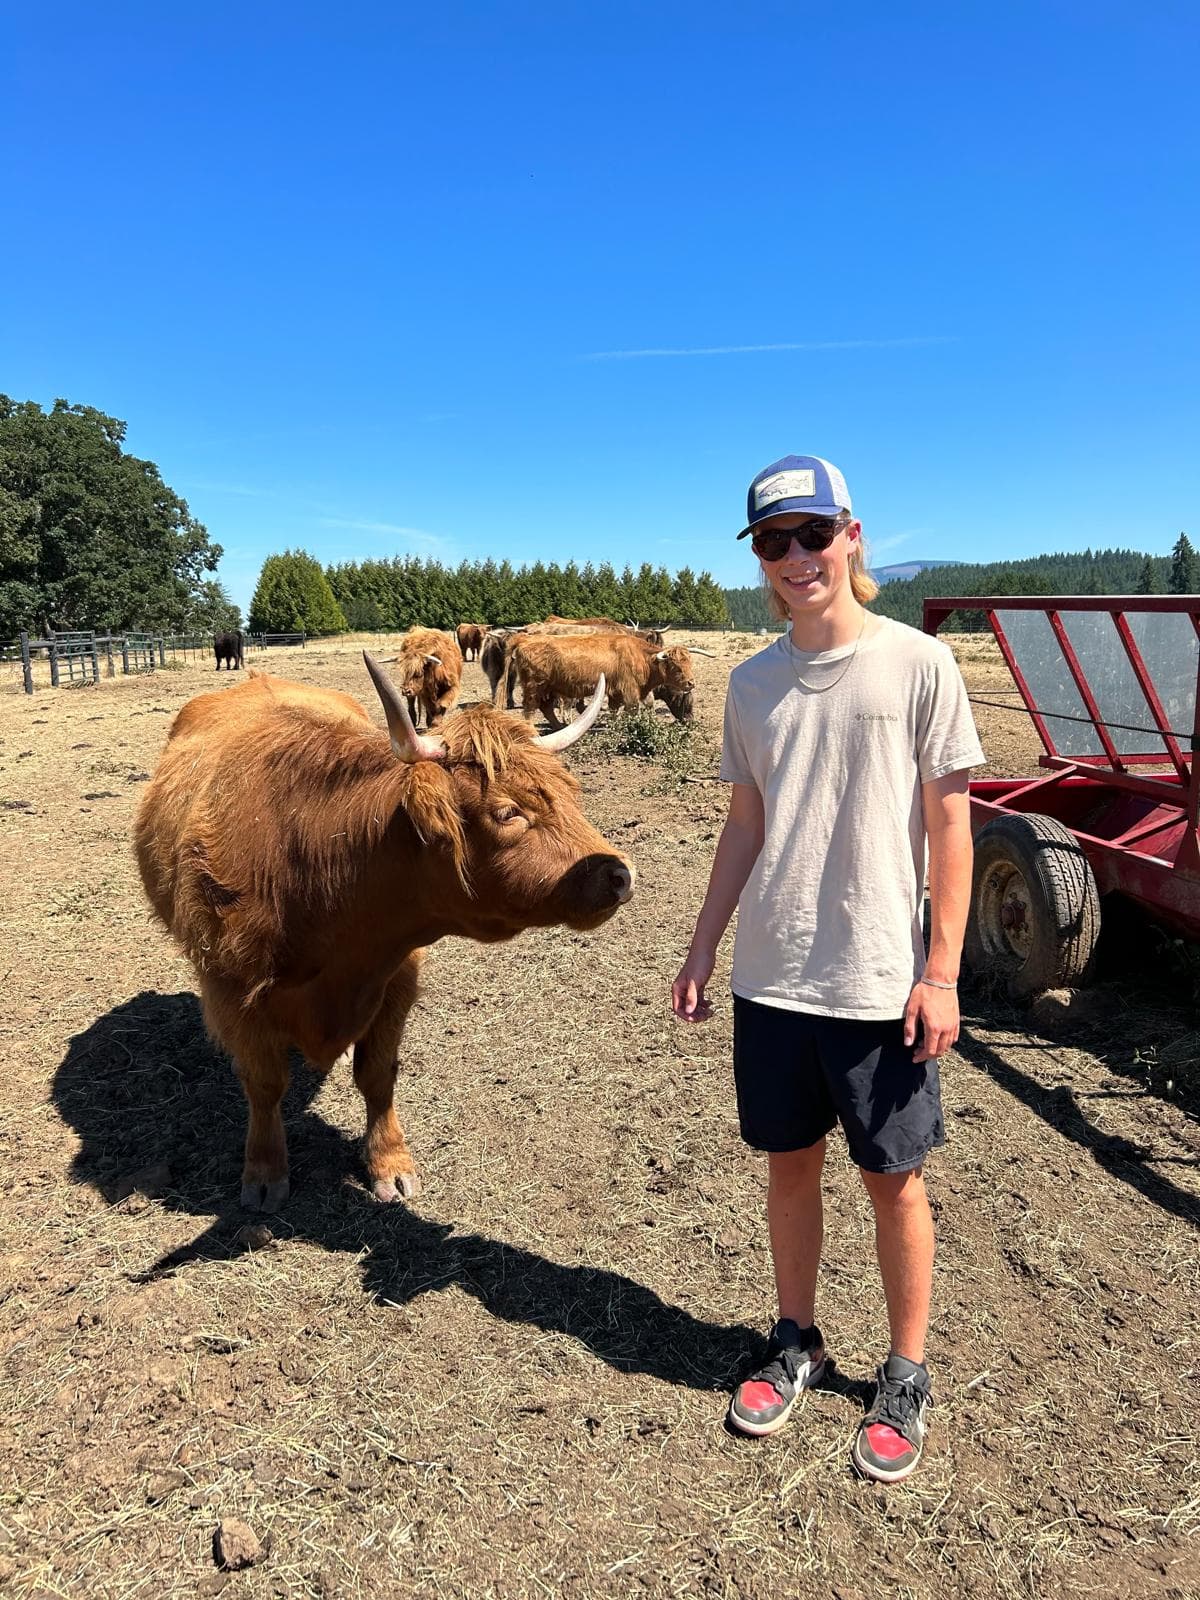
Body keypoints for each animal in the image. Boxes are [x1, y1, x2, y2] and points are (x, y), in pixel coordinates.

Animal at [134, 657, 632, 1211]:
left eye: (570, 794)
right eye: (507, 812)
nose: (620, 874)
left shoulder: (395, 981)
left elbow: (377, 1076)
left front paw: (389, 1163)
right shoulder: (233, 994)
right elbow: (264, 1086)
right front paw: (264, 1172)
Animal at [506, 633, 702, 727]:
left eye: (690, 663)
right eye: (676, 666)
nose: (691, 683)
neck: (641, 656)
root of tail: (525, 639)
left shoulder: (616, 692)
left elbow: (615, 710)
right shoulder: (629, 690)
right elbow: (633, 709)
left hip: (550, 689)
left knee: (546, 708)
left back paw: (559, 728)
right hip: (534, 687)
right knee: (529, 709)